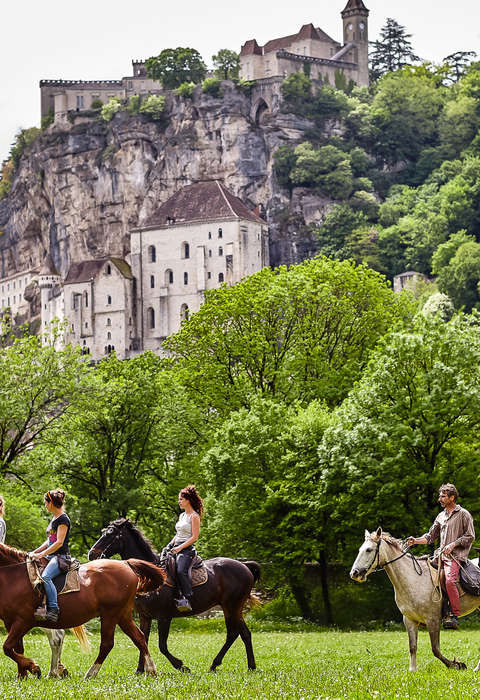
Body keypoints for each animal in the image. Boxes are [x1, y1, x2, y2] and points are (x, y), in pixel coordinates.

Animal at [0, 540, 165, 680]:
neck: (15, 577)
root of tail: (126, 564)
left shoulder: (24, 621)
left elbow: (7, 647)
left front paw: (33, 667)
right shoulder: (10, 621)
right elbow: (17, 648)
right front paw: (22, 675)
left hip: (111, 614)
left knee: (107, 644)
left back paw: (90, 673)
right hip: (122, 615)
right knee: (139, 638)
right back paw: (151, 670)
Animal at [86, 520, 258, 672]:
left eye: (110, 534)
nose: (91, 554)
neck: (149, 575)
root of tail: (244, 566)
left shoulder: (164, 617)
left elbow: (162, 646)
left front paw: (181, 666)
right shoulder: (145, 616)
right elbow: (142, 640)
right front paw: (140, 670)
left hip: (232, 607)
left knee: (232, 633)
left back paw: (216, 664)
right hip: (233, 608)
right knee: (244, 634)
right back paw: (250, 666)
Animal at [348, 528, 480, 668]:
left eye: (369, 550)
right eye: (360, 550)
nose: (354, 573)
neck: (414, 580)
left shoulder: (433, 620)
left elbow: (436, 650)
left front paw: (456, 664)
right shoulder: (409, 620)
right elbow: (413, 647)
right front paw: (413, 670)